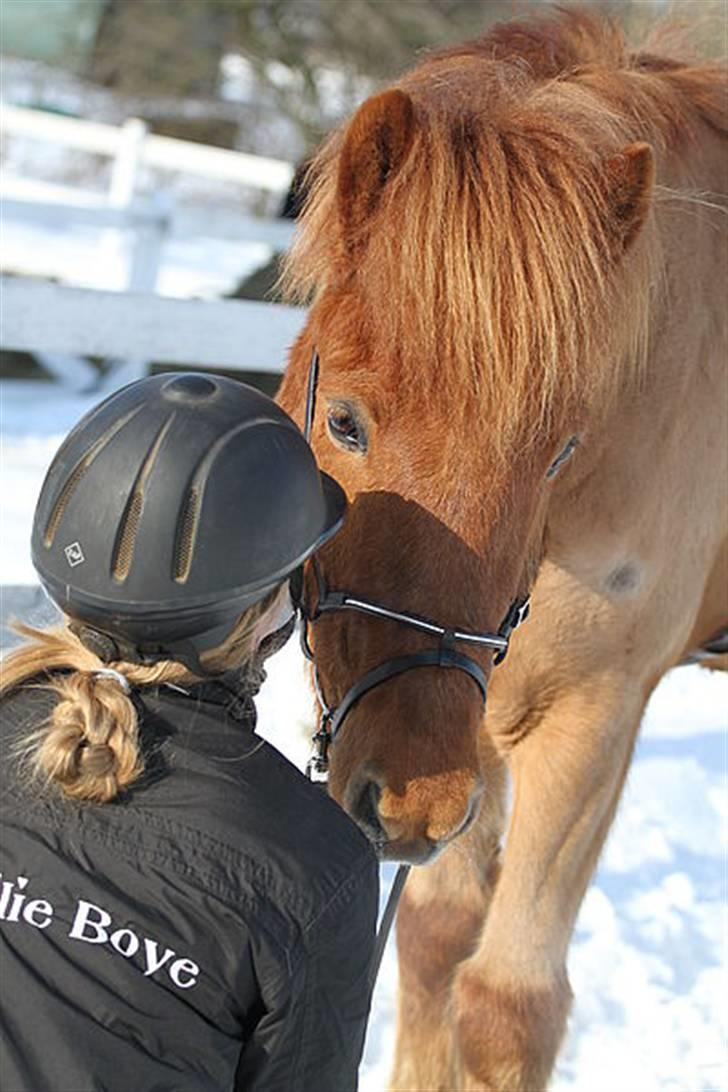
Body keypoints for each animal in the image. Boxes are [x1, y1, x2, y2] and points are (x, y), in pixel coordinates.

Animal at [276, 10, 724, 1092]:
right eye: (344, 421)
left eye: (557, 447)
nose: (410, 799)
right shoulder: (468, 714)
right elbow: (435, 940)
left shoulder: (589, 720)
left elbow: (507, 1005)